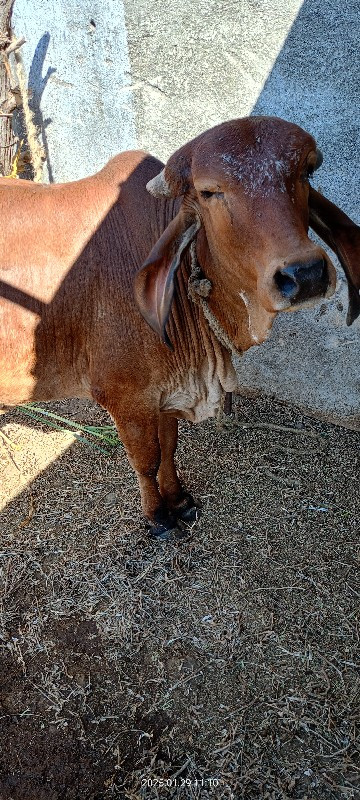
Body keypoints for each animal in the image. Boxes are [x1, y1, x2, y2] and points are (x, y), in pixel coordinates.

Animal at [0, 114, 358, 536]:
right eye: (209, 192)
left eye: (306, 171)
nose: (304, 274)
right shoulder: (126, 398)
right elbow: (147, 460)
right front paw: (157, 516)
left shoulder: (167, 393)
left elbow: (169, 448)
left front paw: (179, 500)